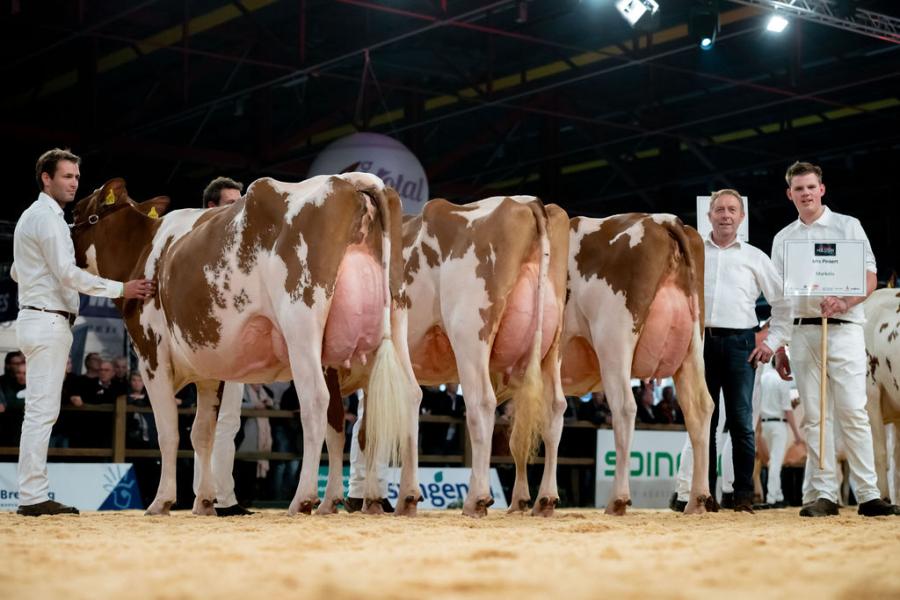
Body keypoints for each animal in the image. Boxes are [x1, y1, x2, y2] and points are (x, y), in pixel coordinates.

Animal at [71, 172, 418, 516]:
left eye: (75, 212)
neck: (144, 248)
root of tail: (350, 181)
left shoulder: (151, 355)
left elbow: (168, 432)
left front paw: (162, 501)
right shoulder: (208, 370)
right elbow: (202, 433)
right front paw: (204, 501)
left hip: (301, 323)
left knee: (316, 401)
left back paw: (303, 498)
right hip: (397, 314)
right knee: (407, 396)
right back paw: (403, 497)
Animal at [400, 196, 568, 516]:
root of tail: (527, 203)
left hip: (469, 335)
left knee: (481, 404)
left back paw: (475, 498)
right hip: (552, 348)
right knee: (555, 408)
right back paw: (545, 499)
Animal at [560, 213, 712, 512]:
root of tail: (661, 220)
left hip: (613, 341)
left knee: (625, 408)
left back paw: (617, 499)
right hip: (692, 349)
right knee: (700, 408)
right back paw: (697, 500)